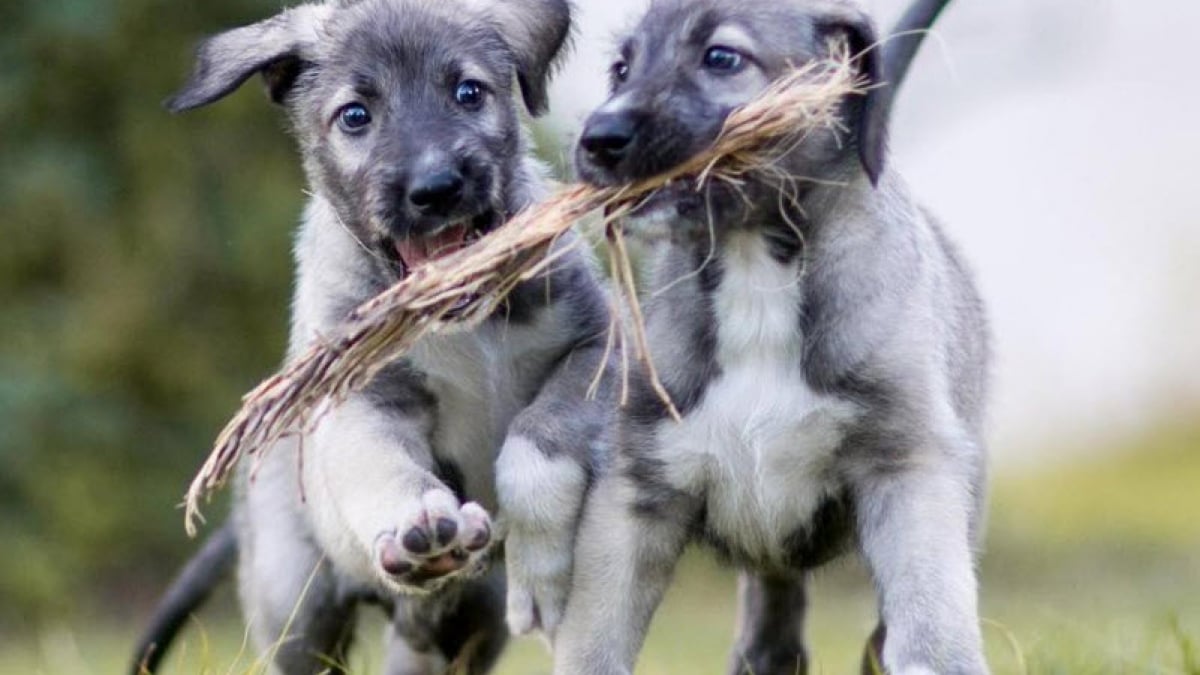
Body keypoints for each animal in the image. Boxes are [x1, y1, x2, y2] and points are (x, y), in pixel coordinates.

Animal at [136, 2, 614, 667]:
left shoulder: (597, 344)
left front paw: (538, 559)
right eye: (355, 115)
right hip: (296, 609)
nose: (436, 187)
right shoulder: (363, 402)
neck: (468, 327)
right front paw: (419, 522)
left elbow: (538, 438)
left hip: (463, 627)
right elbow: (385, 469)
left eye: (469, 92)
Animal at [549, 1, 988, 672]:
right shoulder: (633, 490)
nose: (596, 140)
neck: (753, 262)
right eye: (621, 69)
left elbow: (930, 622)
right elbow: (595, 639)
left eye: (721, 57)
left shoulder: (909, 467)